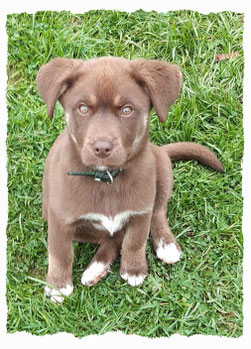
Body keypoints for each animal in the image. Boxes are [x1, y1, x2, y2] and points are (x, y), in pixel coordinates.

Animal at [36, 56, 223, 302]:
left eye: (127, 110)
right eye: (83, 108)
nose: (102, 147)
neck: (106, 179)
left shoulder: (140, 210)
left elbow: (135, 240)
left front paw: (134, 269)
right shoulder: (60, 219)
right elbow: (60, 253)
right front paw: (58, 285)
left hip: (162, 169)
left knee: (157, 213)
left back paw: (165, 245)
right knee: (111, 238)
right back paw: (96, 269)